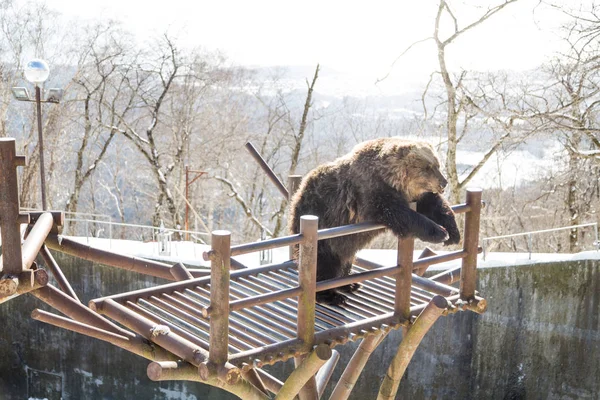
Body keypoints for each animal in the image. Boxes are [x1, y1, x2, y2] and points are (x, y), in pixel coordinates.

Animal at [290, 138, 460, 306]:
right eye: (428, 167)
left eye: (437, 164)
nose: (443, 182)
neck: (391, 178)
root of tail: (295, 199)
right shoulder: (371, 191)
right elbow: (399, 214)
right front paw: (439, 232)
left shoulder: (416, 195)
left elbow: (435, 205)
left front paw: (452, 233)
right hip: (321, 225)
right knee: (323, 262)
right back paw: (331, 295)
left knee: (345, 258)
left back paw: (350, 283)